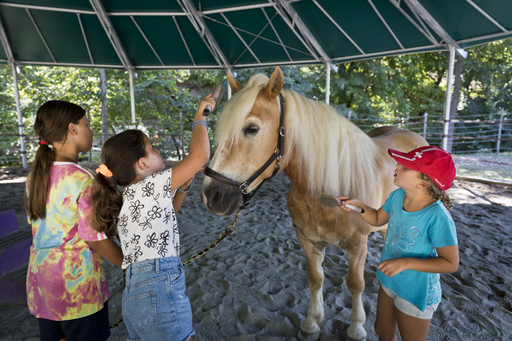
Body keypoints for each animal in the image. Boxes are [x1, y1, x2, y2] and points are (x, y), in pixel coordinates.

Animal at [200, 65, 428, 338]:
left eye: (252, 129)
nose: (212, 196)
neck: (328, 191)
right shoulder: (308, 240)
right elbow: (315, 278)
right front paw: (311, 323)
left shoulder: (357, 245)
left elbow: (355, 284)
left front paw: (356, 328)